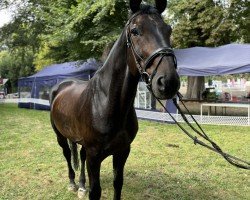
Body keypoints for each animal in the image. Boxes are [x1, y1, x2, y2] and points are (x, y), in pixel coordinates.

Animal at [49, 0, 180, 199]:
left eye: (168, 30)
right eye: (135, 31)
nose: (168, 82)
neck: (107, 103)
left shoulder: (122, 151)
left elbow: (118, 183)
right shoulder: (94, 156)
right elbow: (95, 191)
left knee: (79, 155)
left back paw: (81, 185)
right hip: (60, 136)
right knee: (66, 154)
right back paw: (72, 183)